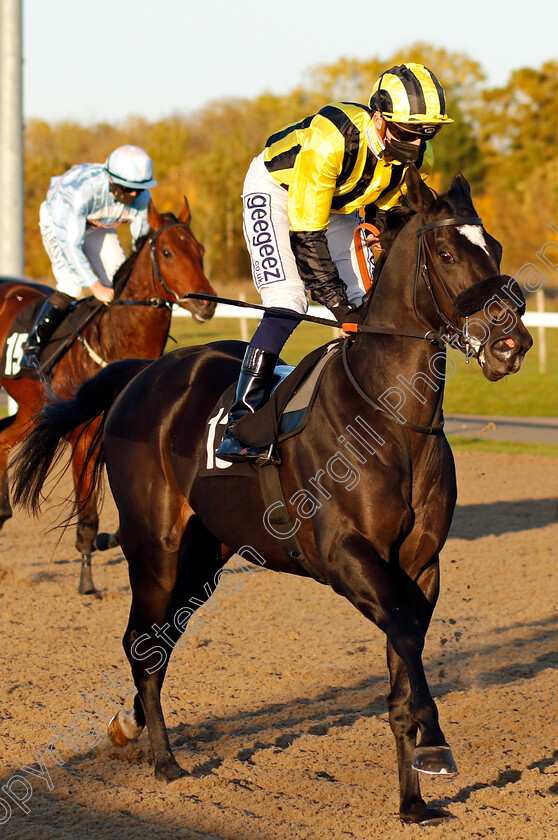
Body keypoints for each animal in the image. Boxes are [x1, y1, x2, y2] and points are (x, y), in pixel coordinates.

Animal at [2, 197, 217, 592]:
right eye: (167, 252)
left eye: (199, 250)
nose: (207, 303)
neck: (115, 343)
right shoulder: (82, 437)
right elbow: (88, 517)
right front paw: (87, 580)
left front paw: (108, 542)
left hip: (30, 409)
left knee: (2, 440)